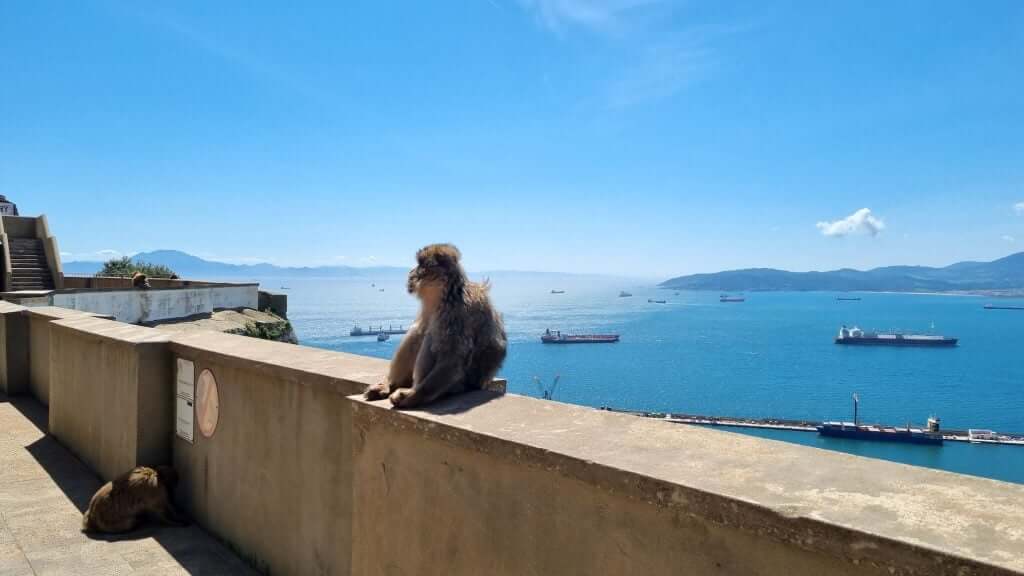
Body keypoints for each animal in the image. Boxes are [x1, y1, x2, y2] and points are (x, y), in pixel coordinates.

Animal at [364, 243, 507, 409]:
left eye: (420, 264)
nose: (411, 272)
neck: (445, 293)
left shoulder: (455, 312)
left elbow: (452, 359)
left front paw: (414, 396)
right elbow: (421, 330)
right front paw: (394, 387)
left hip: (457, 385)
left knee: (431, 336)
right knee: (419, 332)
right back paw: (390, 386)